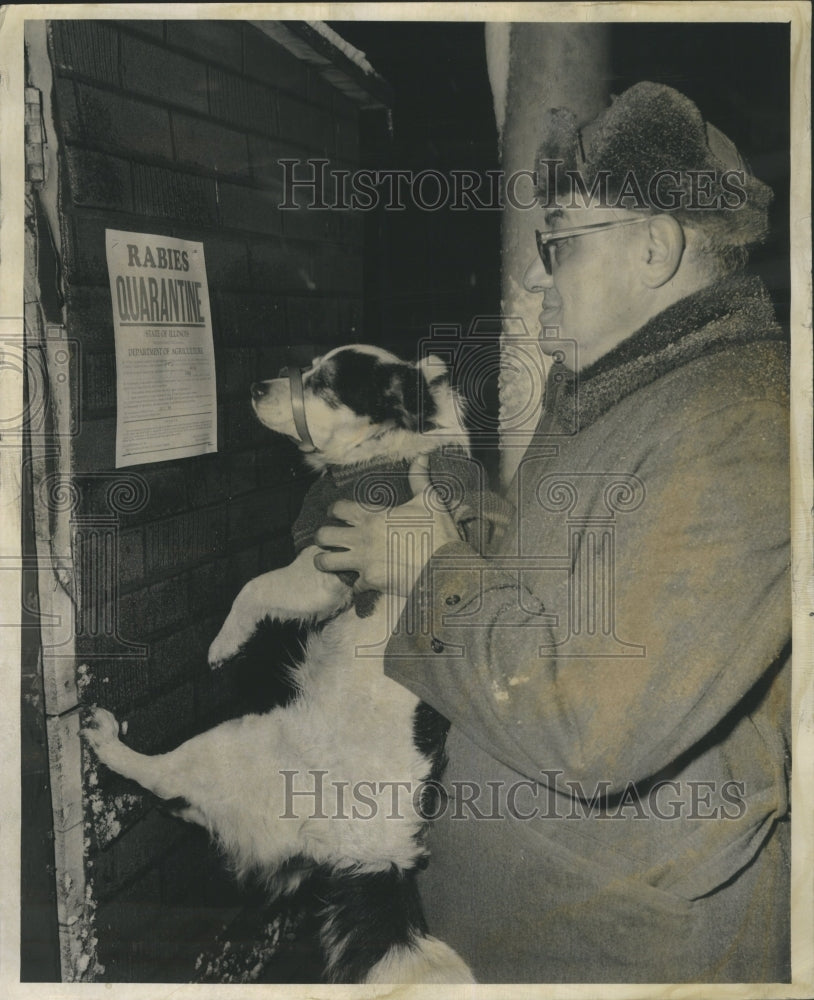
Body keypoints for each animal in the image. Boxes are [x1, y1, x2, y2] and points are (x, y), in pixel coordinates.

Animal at [84, 346, 490, 984]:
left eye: (324, 382)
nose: (255, 386)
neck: (390, 448)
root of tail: (380, 854)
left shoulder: (326, 566)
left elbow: (252, 589)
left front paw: (225, 643)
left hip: (234, 743)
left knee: (164, 776)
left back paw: (109, 742)